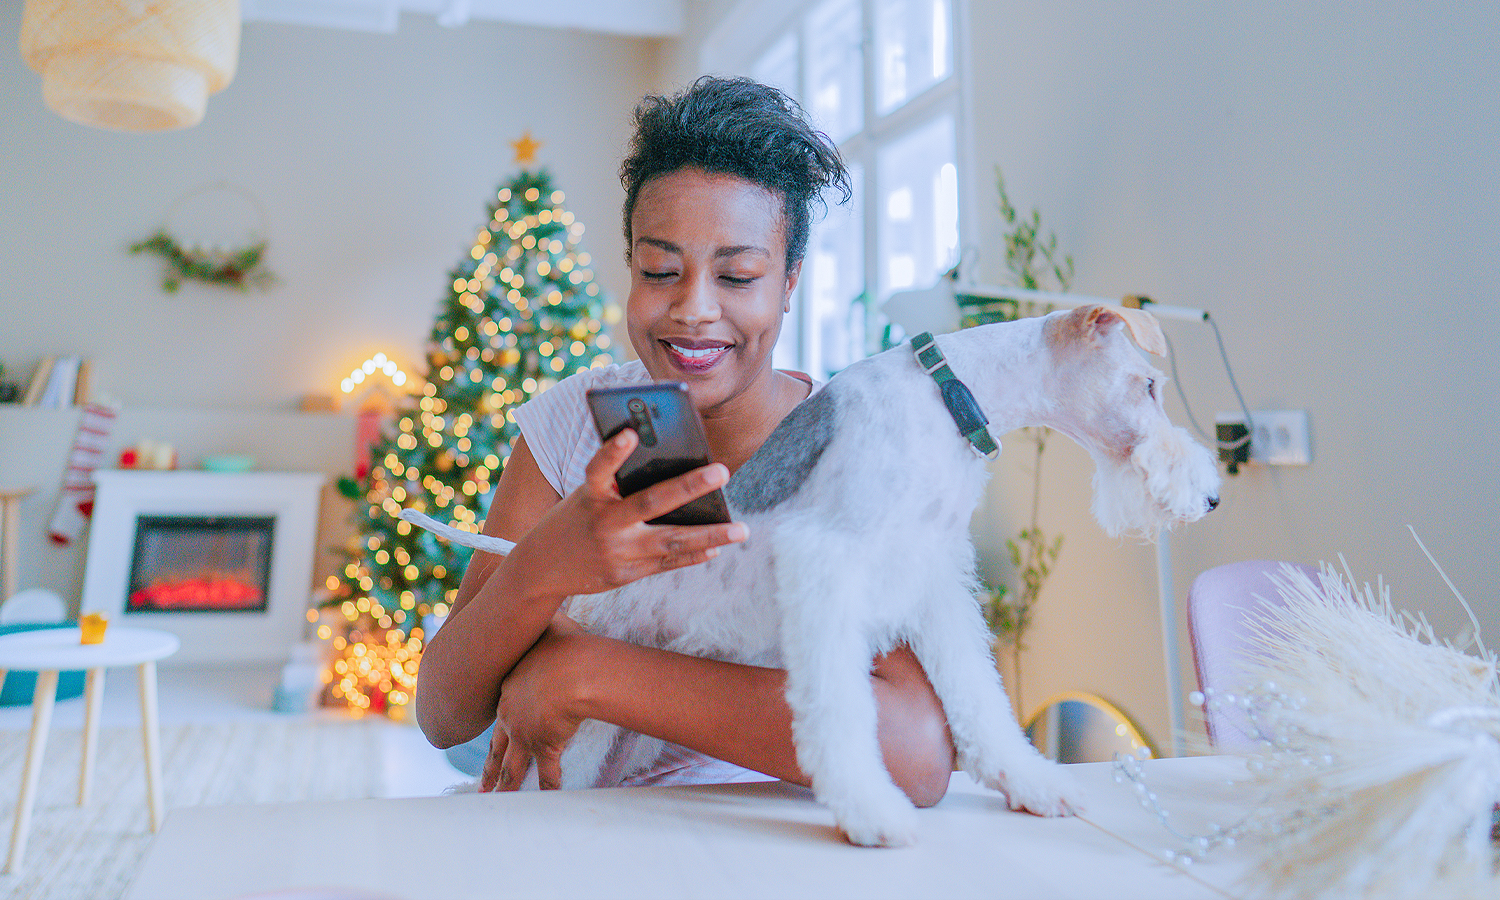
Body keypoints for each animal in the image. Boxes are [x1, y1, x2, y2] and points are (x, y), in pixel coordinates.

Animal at [408, 306, 1218, 846]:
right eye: (1149, 384)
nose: (1209, 498)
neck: (949, 396)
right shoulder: (827, 564)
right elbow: (841, 711)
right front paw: (873, 813)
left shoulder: (932, 582)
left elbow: (979, 699)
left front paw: (1036, 785)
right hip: (572, 730)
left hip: (619, 732)